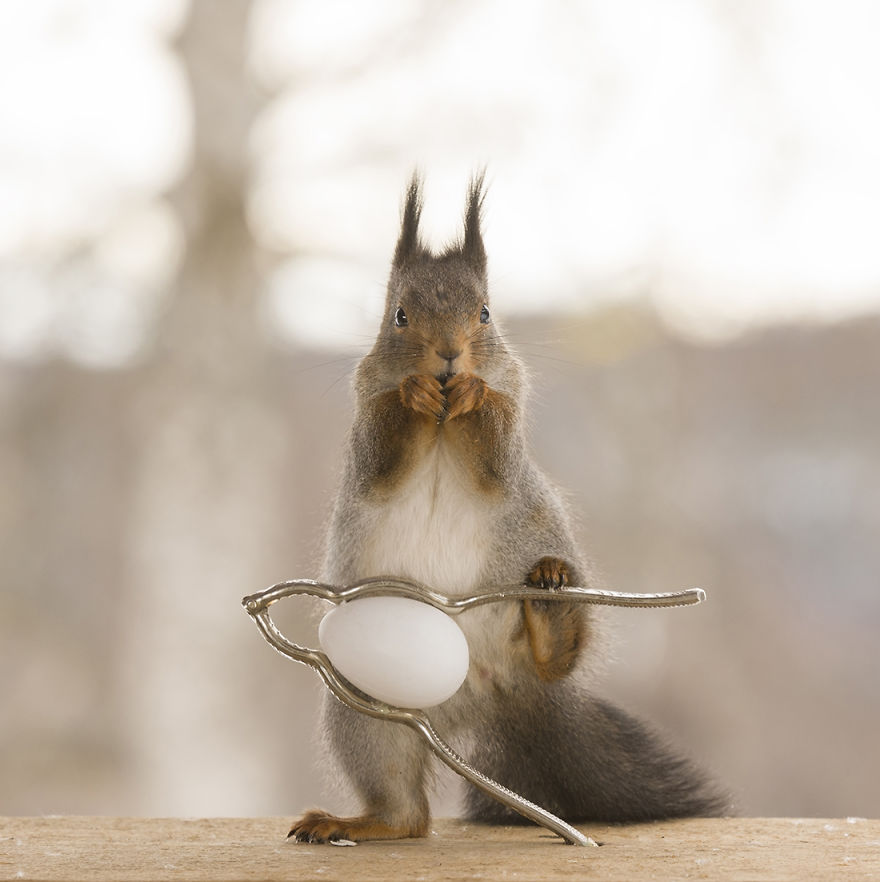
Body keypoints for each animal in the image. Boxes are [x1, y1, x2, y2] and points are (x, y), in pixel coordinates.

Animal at [289, 174, 729, 843]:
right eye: (399, 315)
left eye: (486, 313)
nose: (448, 356)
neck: (442, 421)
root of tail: (490, 692)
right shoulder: (365, 424)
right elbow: (383, 449)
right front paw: (413, 392)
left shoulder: (511, 411)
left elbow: (496, 450)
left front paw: (474, 391)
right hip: (368, 712)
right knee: (408, 814)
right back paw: (362, 823)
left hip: (537, 579)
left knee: (556, 660)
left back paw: (550, 609)